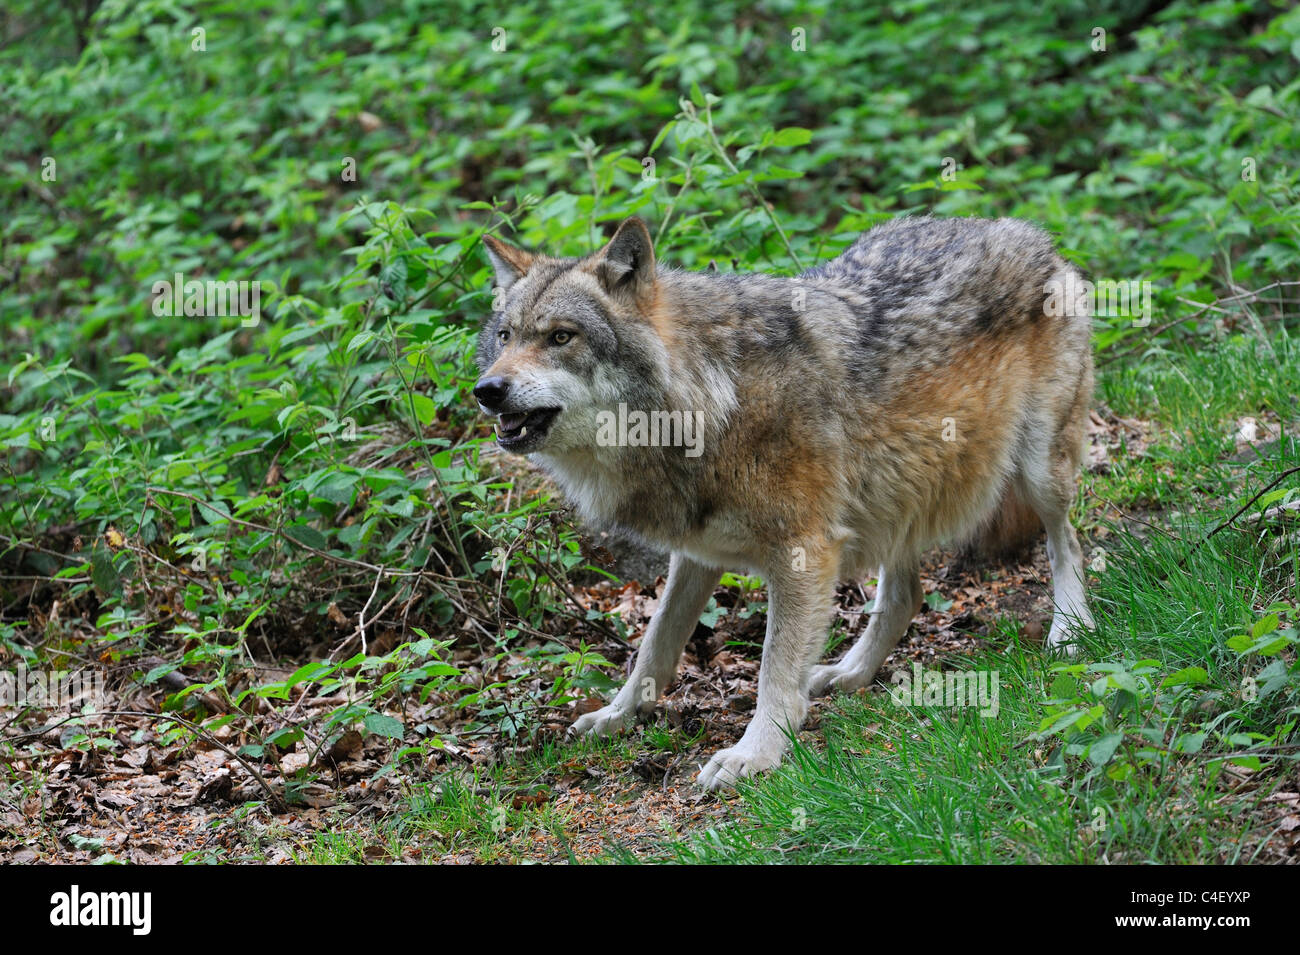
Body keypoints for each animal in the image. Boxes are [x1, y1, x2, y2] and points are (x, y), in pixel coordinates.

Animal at [473, 216, 1092, 789]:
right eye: (505, 336)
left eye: (561, 337)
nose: (487, 390)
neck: (710, 394)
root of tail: (1030, 233)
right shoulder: (694, 553)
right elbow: (655, 644)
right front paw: (618, 715)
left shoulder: (804, 550)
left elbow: (773, 666)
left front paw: (754, 753)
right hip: (899, 496)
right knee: (906, 598)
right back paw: (849, 674)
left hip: (1038, 472)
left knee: (1067, 544)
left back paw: (1071, 631)